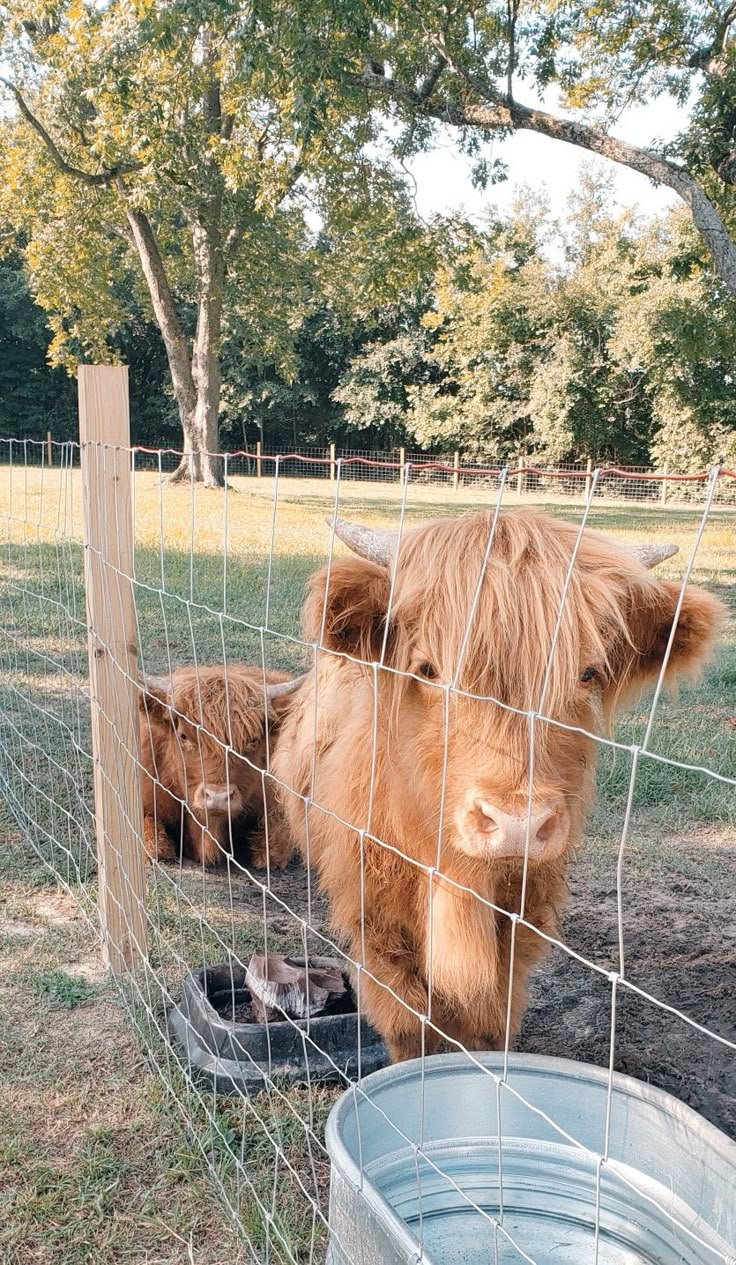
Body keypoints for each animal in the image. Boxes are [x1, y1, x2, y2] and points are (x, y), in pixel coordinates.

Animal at [273, 508, 728, 1062]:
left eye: (587, 673)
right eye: (427, 669)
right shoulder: (373, 921)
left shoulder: (522, 916)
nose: (517, 825)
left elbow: (491, 1023)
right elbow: (409, 1026)